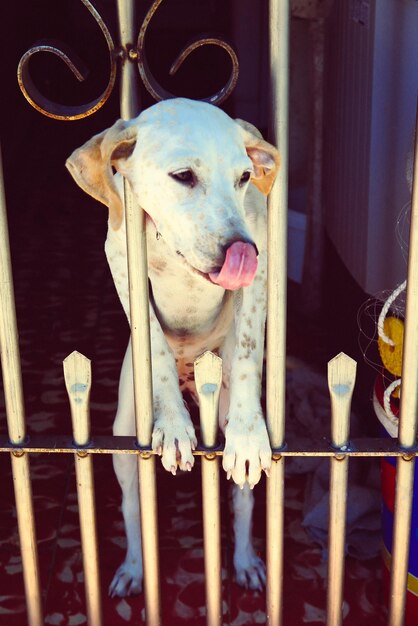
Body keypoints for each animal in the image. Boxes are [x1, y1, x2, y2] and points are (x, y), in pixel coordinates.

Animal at [65, 97, 280, 596]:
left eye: (245, 177)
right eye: (183, 176)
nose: (240, 249)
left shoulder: (260, 270)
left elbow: (247, 348)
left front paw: (247, 429)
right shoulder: (120, 256)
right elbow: (155, 343)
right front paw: (174, 424)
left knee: (242, 502)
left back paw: (245, 561)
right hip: (124, 437)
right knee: (132, 507)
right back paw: (133, 567)